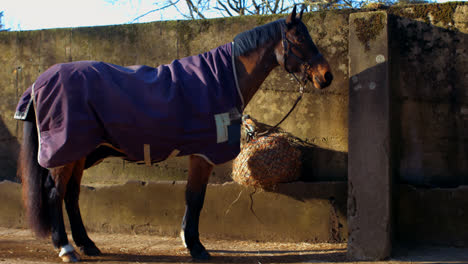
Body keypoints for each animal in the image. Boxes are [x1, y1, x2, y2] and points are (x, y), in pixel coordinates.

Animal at [14, 5, 332, 262]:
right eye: (299, 39)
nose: (326, 76)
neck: (222, 77)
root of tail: (40, 81)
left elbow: (193, 197)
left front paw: (188, 241)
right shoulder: (202, 155)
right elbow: (195, 198)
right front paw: (196, 246)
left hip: (78, 152)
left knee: (71, 195)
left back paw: (87, 245)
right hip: (65, 152)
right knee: (55, 193)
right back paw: (66, 248)